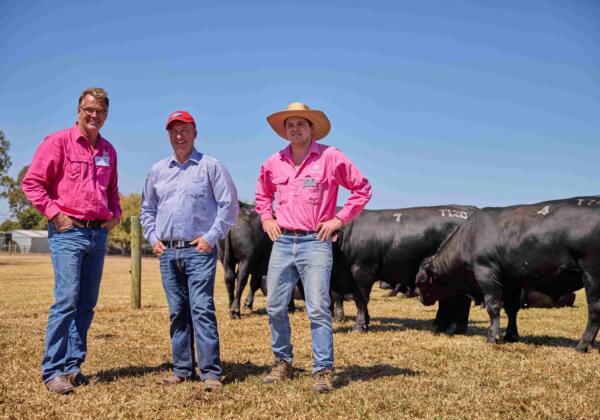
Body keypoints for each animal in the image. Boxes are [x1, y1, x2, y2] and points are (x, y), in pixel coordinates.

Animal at [332, 205, 478, 334]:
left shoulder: (362, 270)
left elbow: (361, 300)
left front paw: (359, 327)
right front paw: (366, 322)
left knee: (461, 300)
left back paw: (454, 328)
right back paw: (444, 326)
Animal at [418, 197, 600, 352]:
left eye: (420, 282)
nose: (419, 298)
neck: (468, 237)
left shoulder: (486, 273)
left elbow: (493, 307)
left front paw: (493, 337)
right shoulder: (513, 282)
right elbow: (511, 309)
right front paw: (511, 335)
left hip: (592, 272)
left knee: (595, 309)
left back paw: (583, 345)